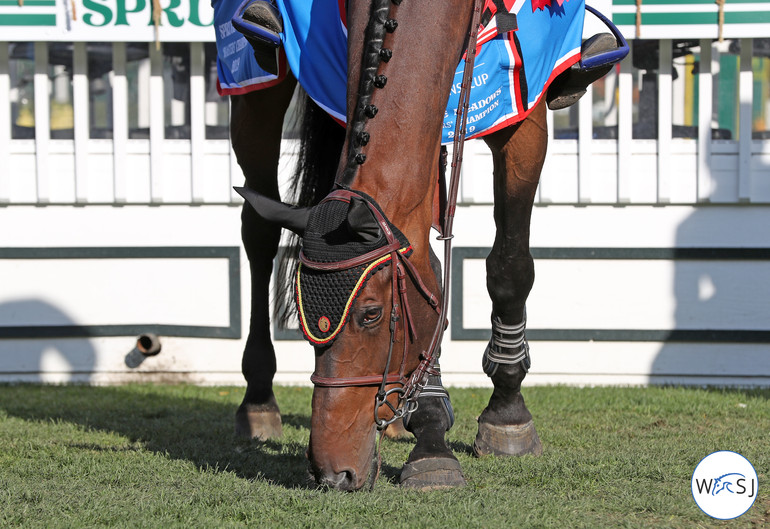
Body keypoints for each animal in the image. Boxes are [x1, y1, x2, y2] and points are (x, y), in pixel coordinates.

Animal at [224, 0, 624, 490]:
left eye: (371, 314)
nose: (331, 472)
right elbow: (430, 267)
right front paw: (431, 431)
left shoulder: (523, 108)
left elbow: (509, 265)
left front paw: (506, 414)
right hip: (254, 82)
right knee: (258, 232)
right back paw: (260, 401)